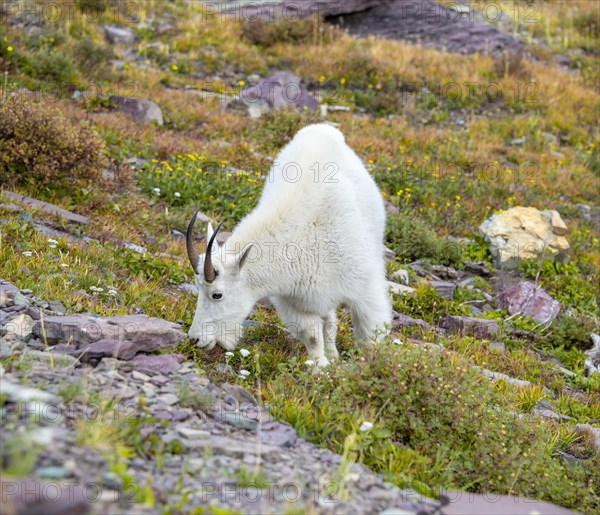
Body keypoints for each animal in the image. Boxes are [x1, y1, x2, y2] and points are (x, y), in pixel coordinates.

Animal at [189, 124, 394, 366]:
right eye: (198, 288)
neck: (302, 239)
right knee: (329, 322)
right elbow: (313, 337)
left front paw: (368, 366)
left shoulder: (364, 289)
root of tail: (324, 129)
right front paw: (322, 369)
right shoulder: (294, 300)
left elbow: (369, 335)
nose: (195, 339)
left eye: (217, 294)